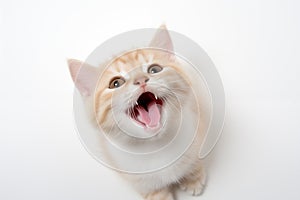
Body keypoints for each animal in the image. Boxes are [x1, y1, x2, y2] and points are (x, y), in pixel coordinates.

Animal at [67, 25, 209, 199]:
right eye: (115, 83)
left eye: (154, 69)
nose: (141, 80)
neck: (156, 146)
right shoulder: (142, 183)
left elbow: (194, 159)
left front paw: (193, 178)